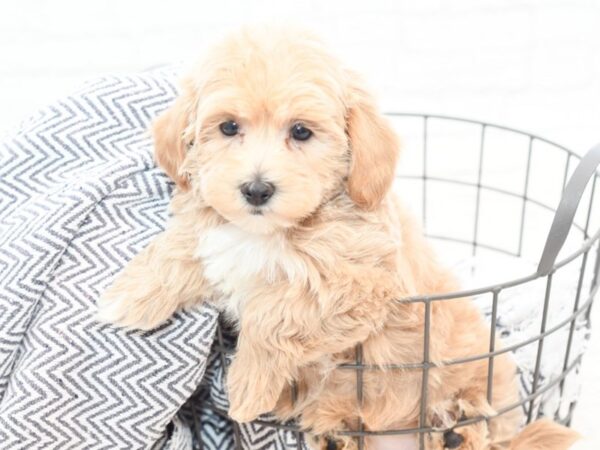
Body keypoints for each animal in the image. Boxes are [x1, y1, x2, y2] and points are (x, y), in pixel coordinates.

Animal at [96, 28, 580, 450]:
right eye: (229, 127)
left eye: (301, 132)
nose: (256, 190)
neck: (272, 231)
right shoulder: (219, 236)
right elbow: (185, 244)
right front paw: (130, 296)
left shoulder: (358, 284)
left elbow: (275, 314)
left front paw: (247, 386)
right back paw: (340, 436)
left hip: (482, 378)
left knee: (490, 427)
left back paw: (456, 429)